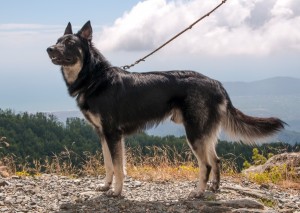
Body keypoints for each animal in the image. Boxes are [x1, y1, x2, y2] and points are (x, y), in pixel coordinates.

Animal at [47, 21, 286, 198]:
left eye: (69, 43)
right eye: (58, 41)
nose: (49, 49)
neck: (95, 78)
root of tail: (217, 84)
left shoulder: (113, 134)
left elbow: (117, 166)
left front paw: (116, 192)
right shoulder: (103, 134)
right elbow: (109, 165)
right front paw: (106, 186)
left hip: (194, 133)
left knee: (206, 164)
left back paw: (198, 192)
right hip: (204, 132)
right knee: (216, 160)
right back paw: (214, 188)